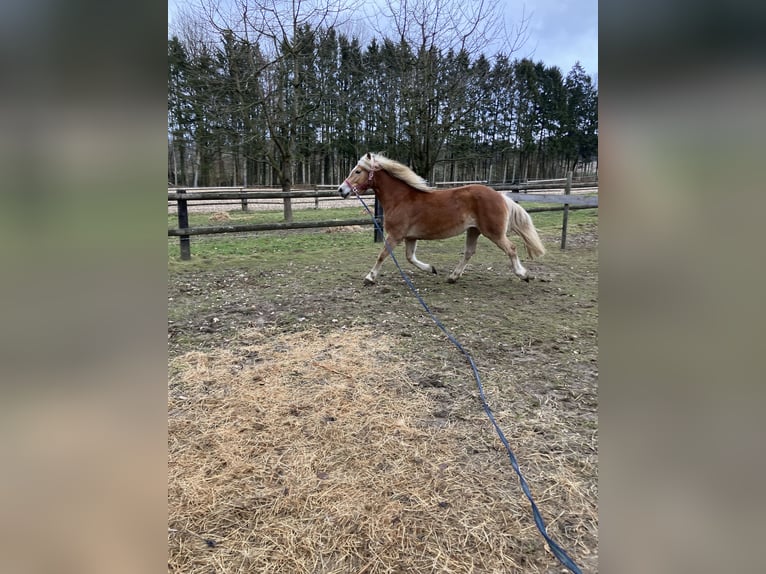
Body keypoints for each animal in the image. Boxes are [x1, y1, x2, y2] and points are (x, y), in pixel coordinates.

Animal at [340, 153, 548, 286]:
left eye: (357, 171)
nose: (342, 190)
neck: (401, 198)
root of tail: (501, 196)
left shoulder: (396, 235)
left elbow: (383, 255)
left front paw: (369, 277)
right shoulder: (410, 237)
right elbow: (410, 257)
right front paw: (431, 269)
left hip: (494, 233)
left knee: (511, 249)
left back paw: (523, 275)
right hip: (474, 230)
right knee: (469, 252)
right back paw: (453, 277)